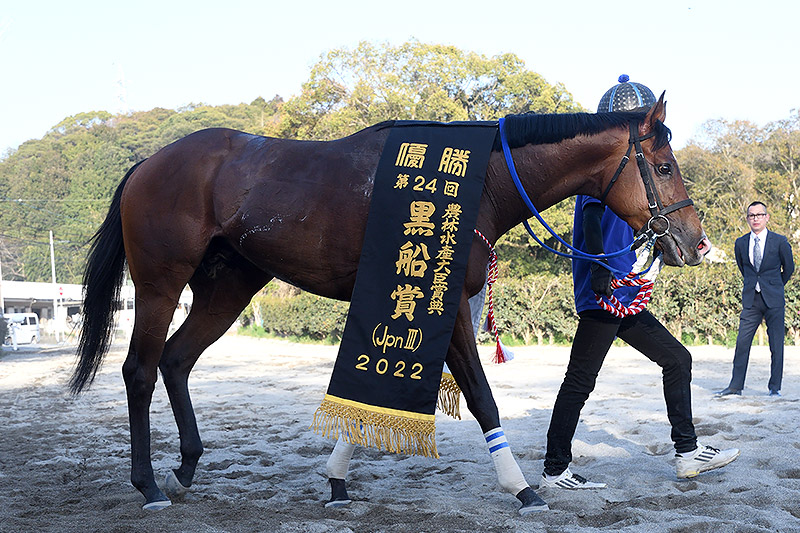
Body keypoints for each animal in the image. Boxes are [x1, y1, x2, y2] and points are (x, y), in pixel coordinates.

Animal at [70, 95, 712, 516]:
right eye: (663, 166)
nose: (695, 243)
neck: (478, 181)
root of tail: (148, 163)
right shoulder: (442, 304)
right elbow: (480, 395)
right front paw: (522, 488)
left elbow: (374, 393)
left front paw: (336, 479)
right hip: (160, 283)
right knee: (140, 369)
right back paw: (149, 484)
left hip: (227, 287)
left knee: (176, 360)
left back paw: (185, 466)